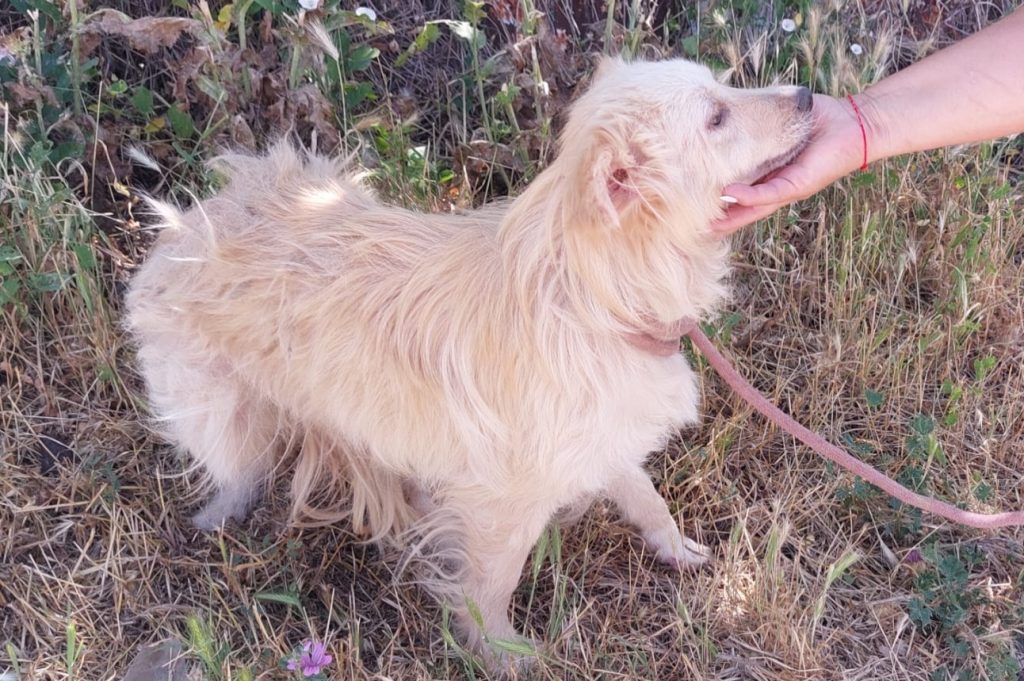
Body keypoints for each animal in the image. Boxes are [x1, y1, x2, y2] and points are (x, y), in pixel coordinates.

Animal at [126, 56, 813, 661]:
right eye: (717, 117)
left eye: (722, 89)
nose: (808, 95)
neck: (588, 295)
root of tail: (191, 221)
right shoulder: (502, 506)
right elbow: (489, 589)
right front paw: (503, 653)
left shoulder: (599, 441)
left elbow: (649, 501)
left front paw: (677, 551)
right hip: (221, 411)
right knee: (234, 465)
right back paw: (218, 516)